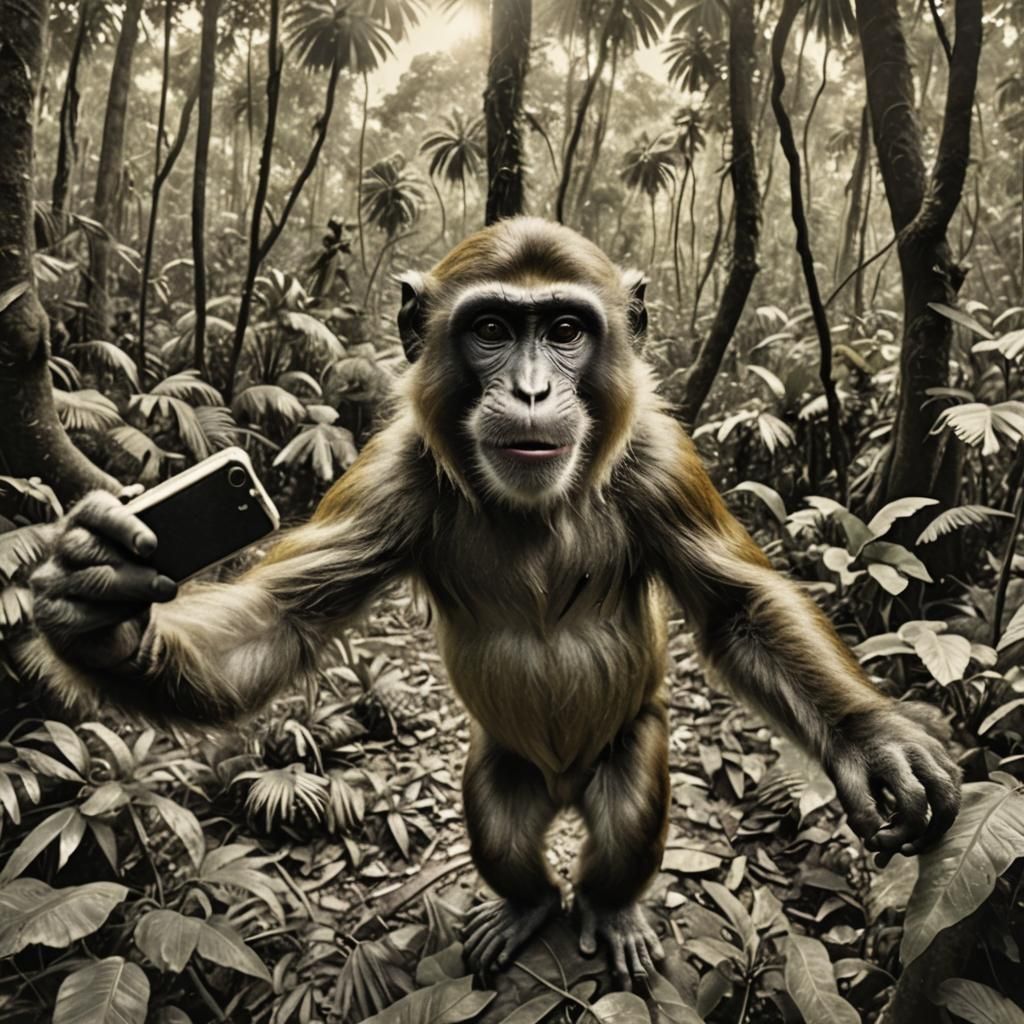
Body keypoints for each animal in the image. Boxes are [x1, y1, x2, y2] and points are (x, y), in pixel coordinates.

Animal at [26, 217, 960, 988]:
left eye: (565, 330)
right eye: (490, 330)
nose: (535, 390)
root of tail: (563, 785)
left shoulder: (663, 460)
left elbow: (739, 610)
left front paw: (873, 744)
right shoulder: (389, 475)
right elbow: (281, 621)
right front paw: (102, 614)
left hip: (628, 752)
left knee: (624, 824)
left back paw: (610, 908)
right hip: (502, 773)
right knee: (504, 835)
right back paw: (526, 902)